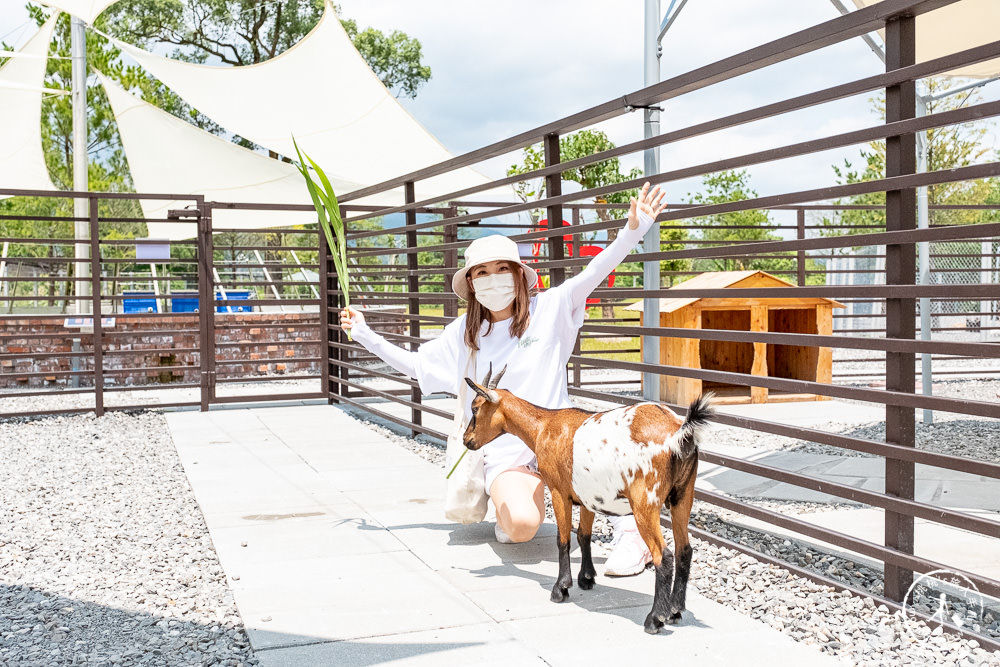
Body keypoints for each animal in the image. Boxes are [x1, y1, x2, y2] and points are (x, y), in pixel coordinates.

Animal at [464, 368, 716, 636]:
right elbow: (584, 536)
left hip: (645, 502)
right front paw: (586, 578)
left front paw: (561, 588)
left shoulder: (558, 491)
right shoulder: (587, 498)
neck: (543, 427)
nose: (466, 440)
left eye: (475, 409)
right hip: (683, 496)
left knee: (664, 555)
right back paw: (676, 610)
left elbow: (563, 539)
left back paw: (655, 618)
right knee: (684, 550)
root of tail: (679, 432)